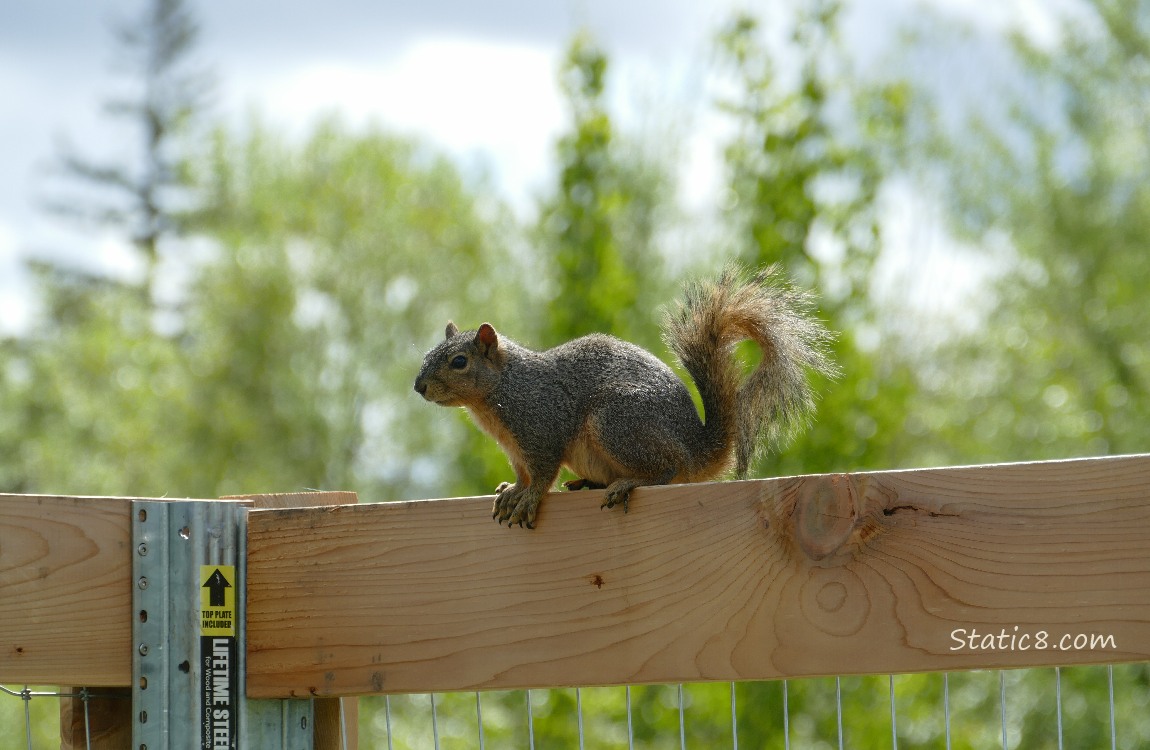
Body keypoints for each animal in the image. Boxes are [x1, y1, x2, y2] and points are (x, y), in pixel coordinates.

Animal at [414, 264, 837, 529]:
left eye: (459, 361)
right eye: (428, 354)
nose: (419, 387)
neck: (500, 390)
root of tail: (695, 447)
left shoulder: (542, 427)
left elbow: (543, 473)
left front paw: (529, 498)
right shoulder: (515, 448)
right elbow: (522, 472)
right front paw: (511, 491)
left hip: (617, 423)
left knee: (666, 470)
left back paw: (627, 484)